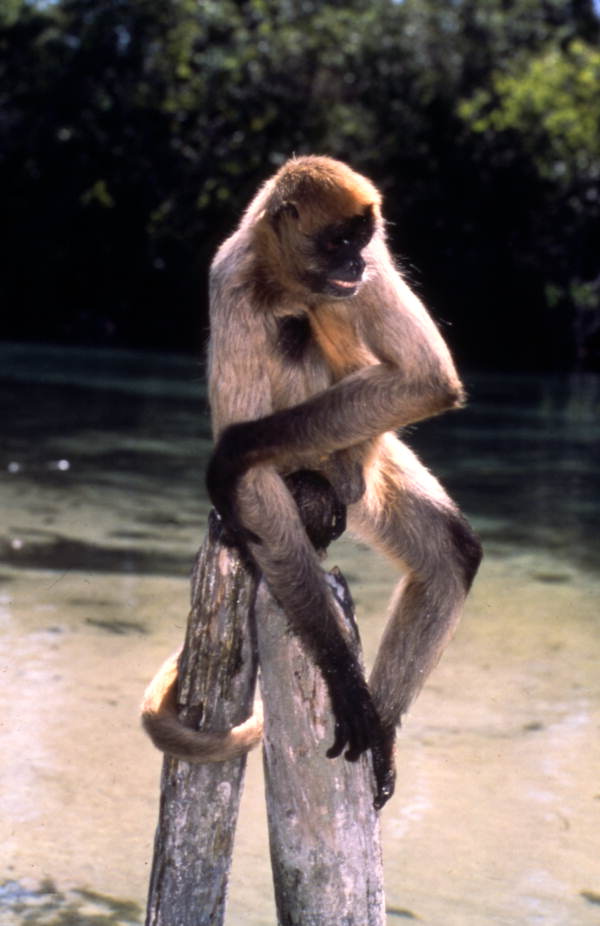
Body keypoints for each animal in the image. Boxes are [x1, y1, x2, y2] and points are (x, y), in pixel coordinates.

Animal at [142, 155, 482, 808]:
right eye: (336, 242)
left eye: (360, 240)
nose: (354, 265)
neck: (284, 279)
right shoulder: (230, 280)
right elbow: (249, 483)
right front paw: (342, 673)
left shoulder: (373, 264)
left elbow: (426, 379)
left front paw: (234, 450)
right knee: (293, 331)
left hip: (365, 464)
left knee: (452, 552)